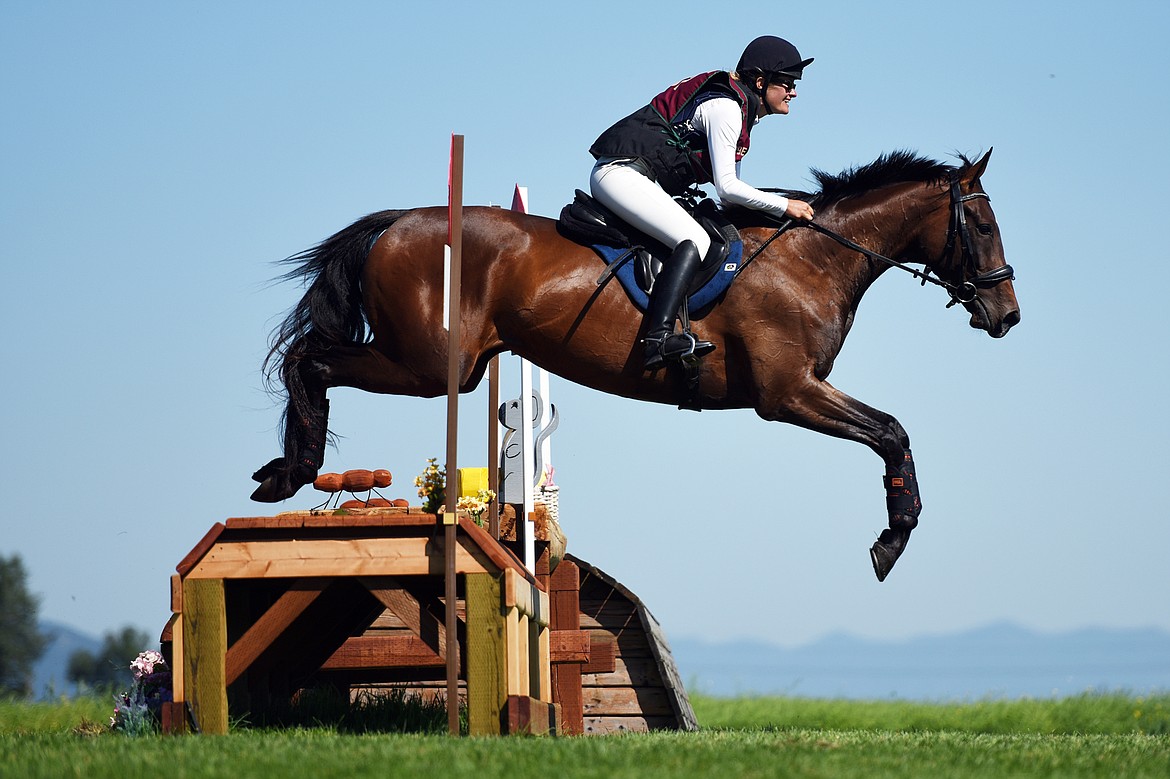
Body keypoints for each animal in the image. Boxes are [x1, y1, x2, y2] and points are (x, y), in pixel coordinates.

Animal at [251, 148, 1020, 580]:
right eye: (982, 226)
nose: (1006, 314)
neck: (814, 256)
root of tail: (399, 222)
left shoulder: (801, 390)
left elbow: (892, 432)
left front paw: (895, 535)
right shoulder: (789, 392)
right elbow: (891, 431)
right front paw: (893, 538)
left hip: (441, 365)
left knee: (310, 358)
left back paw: (282, 471)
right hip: (428, 363)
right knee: (308, 360)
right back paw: (290, 470)